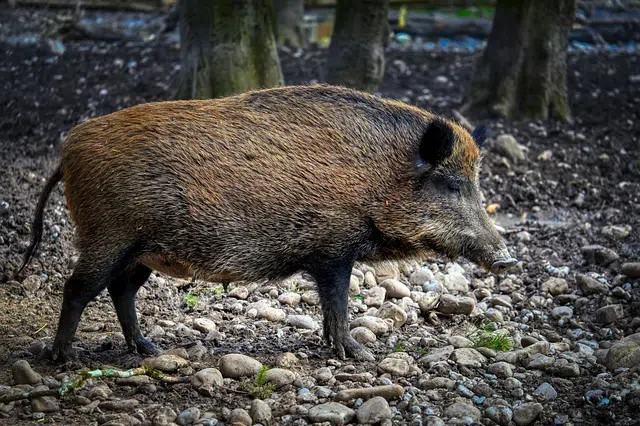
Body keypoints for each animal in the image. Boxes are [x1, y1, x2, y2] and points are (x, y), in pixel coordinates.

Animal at [14, 84, 517, 363]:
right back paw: (62, 359)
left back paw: (151, 350)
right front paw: (359, 354)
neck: (378, 176)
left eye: (475, 182)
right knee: (78, 288)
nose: (507, 258)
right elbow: (337, 302)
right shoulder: (333, 249)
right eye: (450, 185)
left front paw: (337, 349)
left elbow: (331, 308)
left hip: (144, 250)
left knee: (120, 290)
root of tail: (67, 150)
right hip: (108, 235)